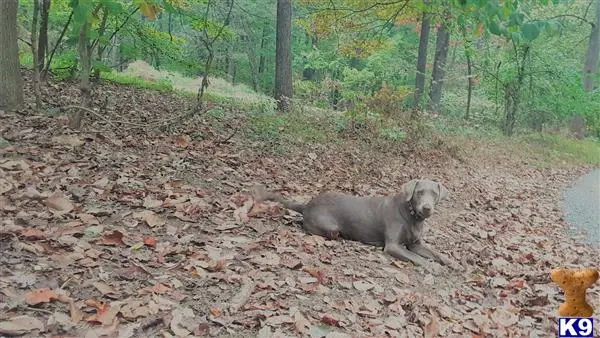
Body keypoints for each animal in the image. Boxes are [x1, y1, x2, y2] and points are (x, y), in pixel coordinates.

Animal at [253, 180, 460, 272]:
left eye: (434, 194)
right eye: (419, 192)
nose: (427, 208)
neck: (413, 217)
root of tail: (307, 204)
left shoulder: (416, 244)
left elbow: (436, 253)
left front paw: (452, 263)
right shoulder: (393, 246)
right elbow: (416, 258)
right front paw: (435, 268)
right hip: (331, 228)